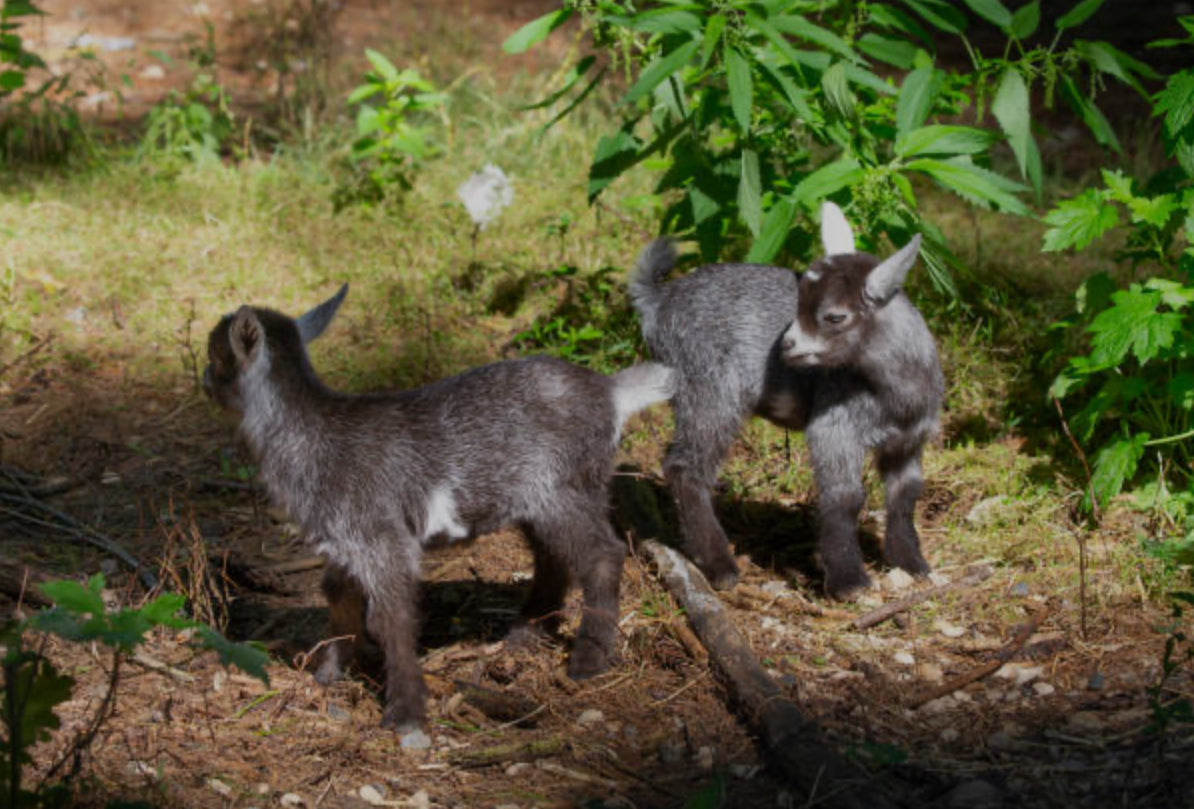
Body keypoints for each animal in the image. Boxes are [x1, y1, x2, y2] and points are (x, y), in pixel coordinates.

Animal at [203, 285, 674, 739]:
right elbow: (337, 596)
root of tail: (611, 392)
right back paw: (523, 636)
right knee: (553, 559)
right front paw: (329, 673)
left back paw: (588, 660)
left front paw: (406, 713)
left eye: (214, 354)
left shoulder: (380, 539)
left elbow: (389, 617)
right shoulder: (343, 543)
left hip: (563, 491)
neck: (309, 435)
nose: (204, 380)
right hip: (540, 502)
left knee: (602, 555)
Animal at [629, 202, 943, 599]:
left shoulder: (909, 441)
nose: (786, 346)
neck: (896, 394)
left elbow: (905, 496)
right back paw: (720, 566)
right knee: (684, 467)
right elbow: (845, 497)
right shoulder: (834, 428)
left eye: (835, 316)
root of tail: (658, 302)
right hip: (710, 390)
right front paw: (848, 580)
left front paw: (911, 562)